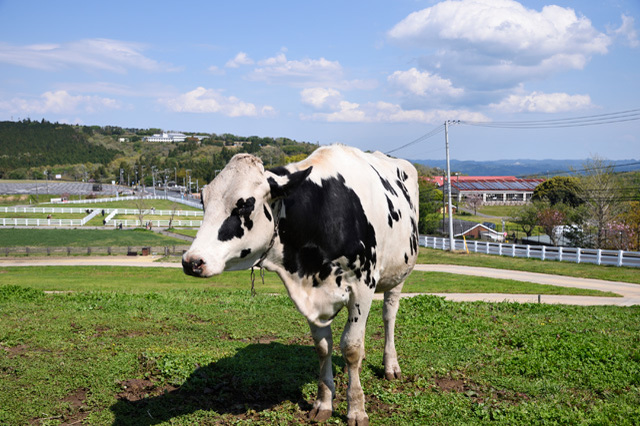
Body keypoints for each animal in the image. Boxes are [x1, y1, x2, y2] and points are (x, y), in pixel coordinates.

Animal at [181, 145, 420, 424]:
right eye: (203, 199)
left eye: (245, 204)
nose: (192, 261)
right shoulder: (309, 295)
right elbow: (323, 347)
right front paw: (323, 402)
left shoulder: (362, 285)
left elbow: (351, 346)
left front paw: (356, 408)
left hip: (398, 273)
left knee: (389, 315)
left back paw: (391, 365)